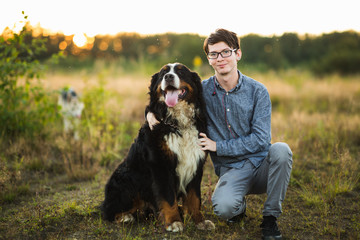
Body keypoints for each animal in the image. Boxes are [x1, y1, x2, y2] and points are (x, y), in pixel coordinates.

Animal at [100, 62, 215, 232]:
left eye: (181, 71)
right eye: (162, 73)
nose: (168, 77)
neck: (178, 124)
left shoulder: (196, 164)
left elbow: (194, 198)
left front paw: (199, 221)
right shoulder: (161, 165)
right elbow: (168, 197)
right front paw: (174, 222)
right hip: (125, 178)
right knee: (108, 210)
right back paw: (125, 216)